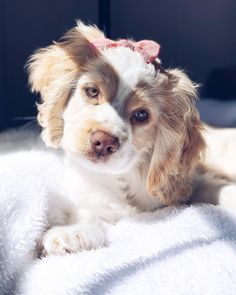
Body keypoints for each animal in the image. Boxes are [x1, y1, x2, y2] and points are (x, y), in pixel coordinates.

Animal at [27, 21, 236, 256]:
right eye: (92, 91)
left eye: (141, 115)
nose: (104, 142)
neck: (123, 179)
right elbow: (88, 212)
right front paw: (71, 232)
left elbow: (216, 188)